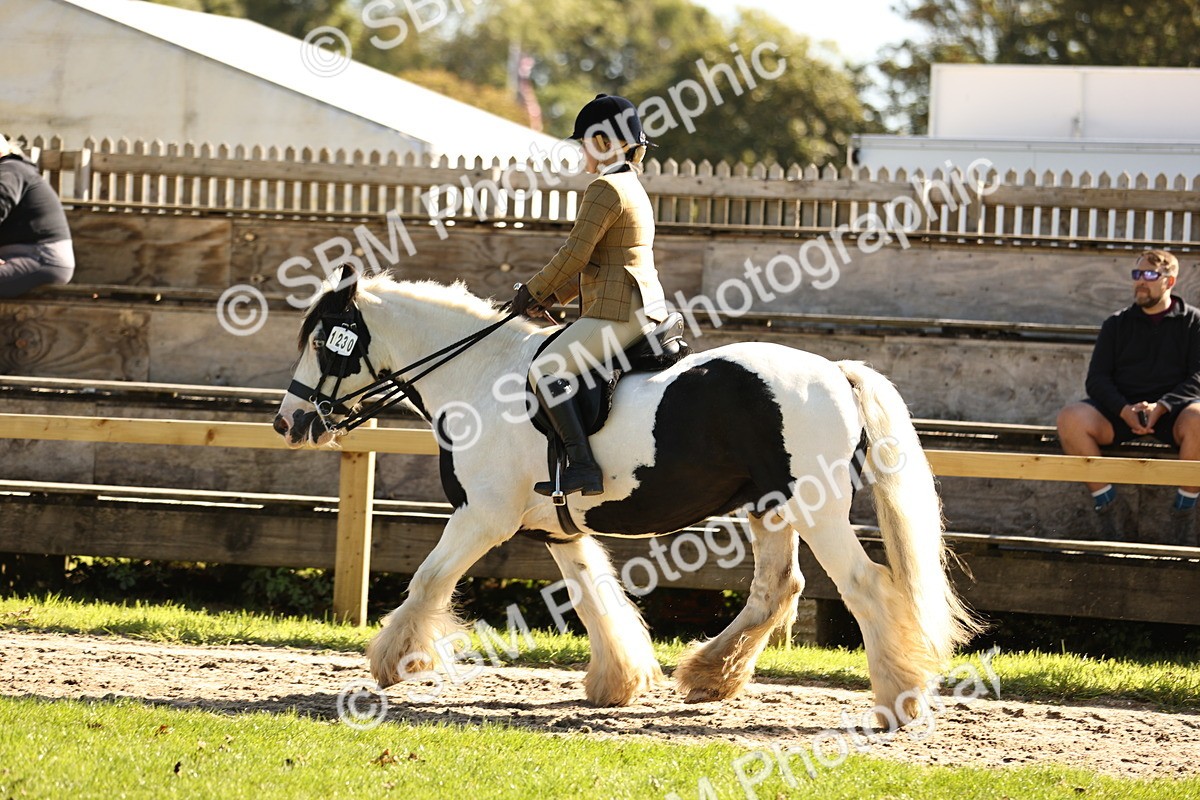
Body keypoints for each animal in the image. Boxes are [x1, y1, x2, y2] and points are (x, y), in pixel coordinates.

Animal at [273, 268, 978, 724]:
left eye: (324, 341)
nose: (288, 422)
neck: (478, 378)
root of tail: (835, 369)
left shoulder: (481, 517)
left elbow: (427, 579)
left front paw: (395, 661)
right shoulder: (556, 529)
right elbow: (596, 598)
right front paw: (619, 682)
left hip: (815, 509)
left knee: (865, 586)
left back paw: (897, 700)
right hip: (770, 507)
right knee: (778, 588)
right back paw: (708, 677)